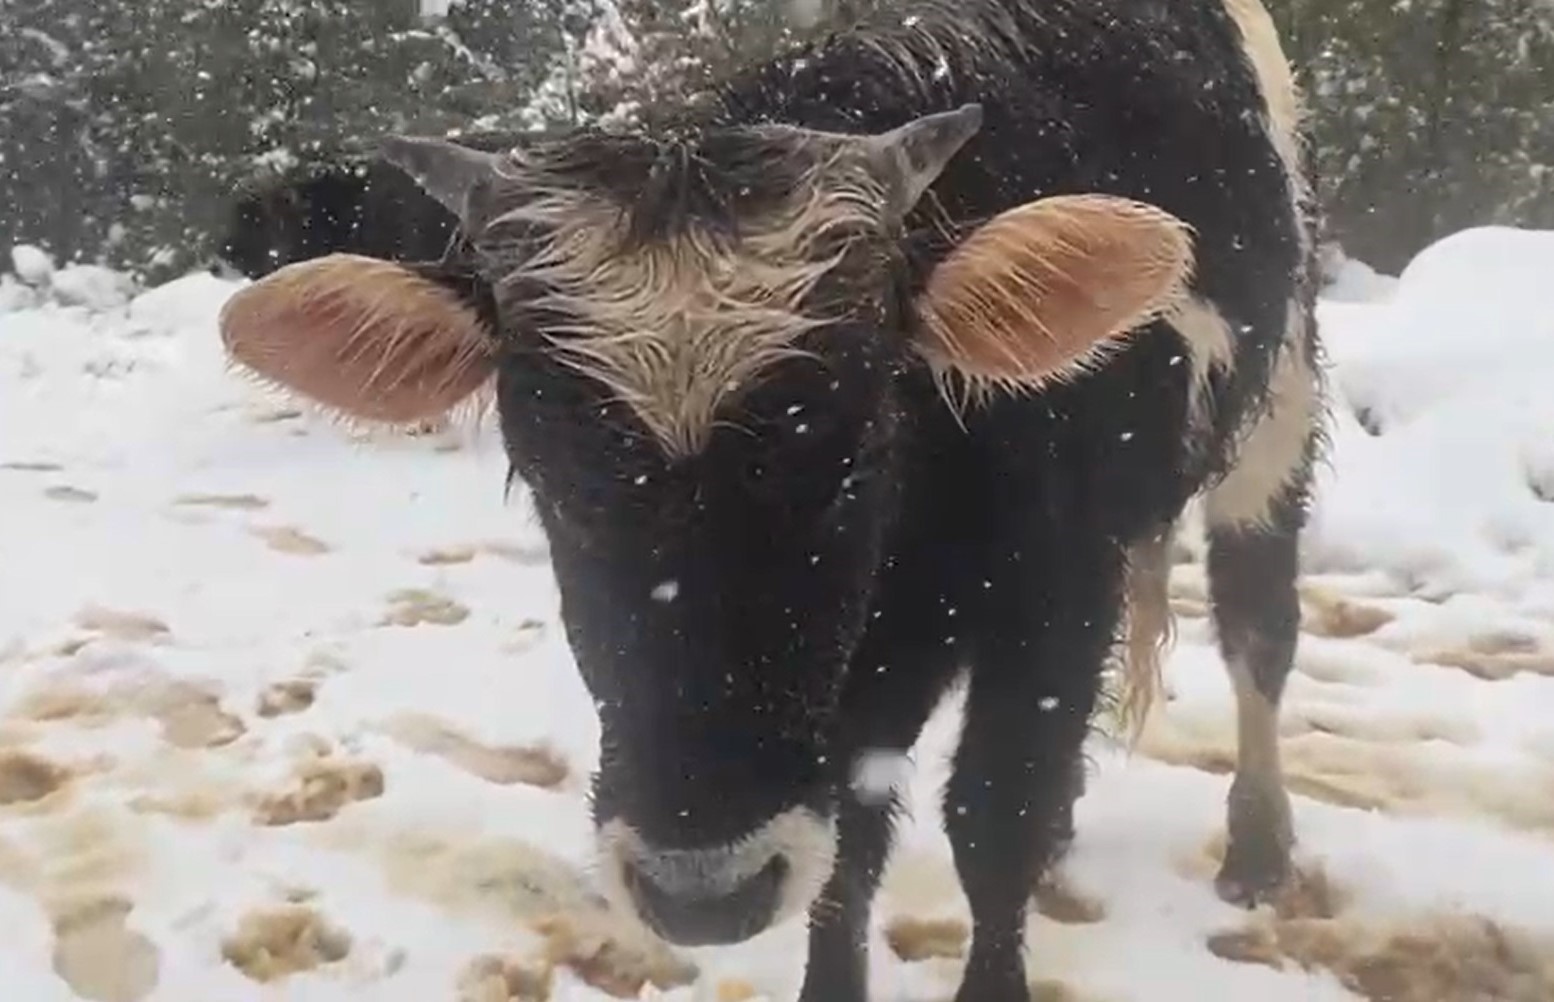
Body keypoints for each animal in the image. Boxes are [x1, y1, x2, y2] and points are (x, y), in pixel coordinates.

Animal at [212, 3, 1324, 994]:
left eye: (853, 455)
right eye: (551, 480)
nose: (702, 893)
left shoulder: (1056, 599)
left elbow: (993, 819)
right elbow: (851, 853)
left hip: (1279, 410)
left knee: (1257, 628)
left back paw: (1259, 845)